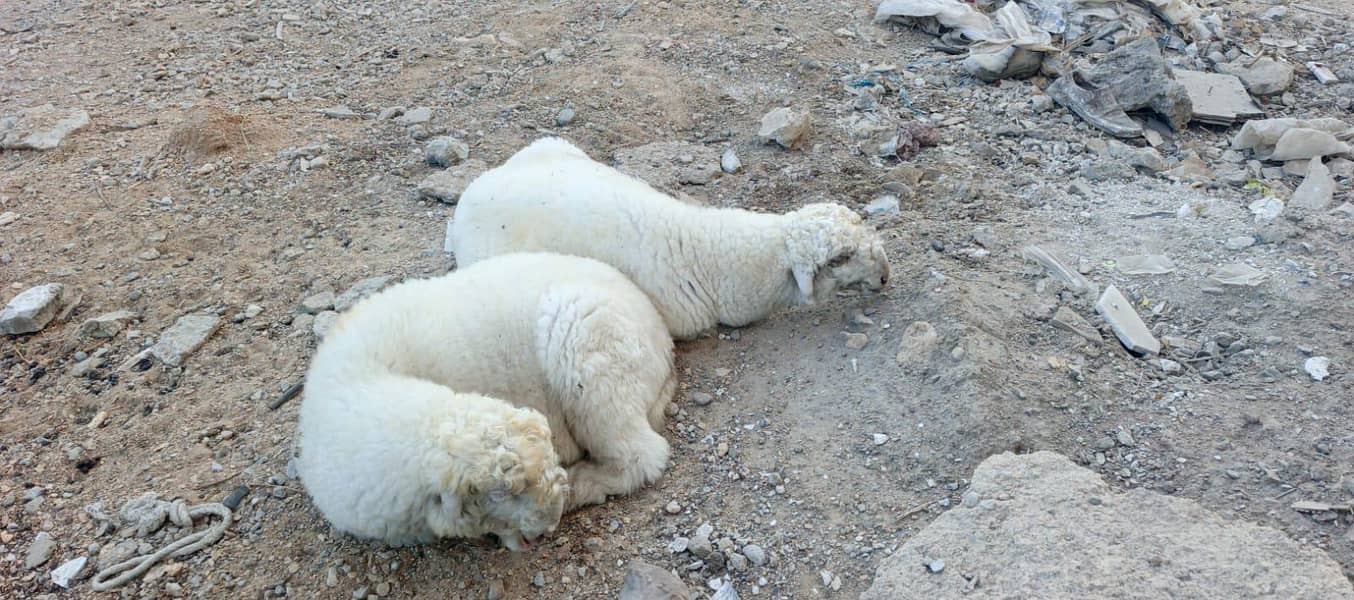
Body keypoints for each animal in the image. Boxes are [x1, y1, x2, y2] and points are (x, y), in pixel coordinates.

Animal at [296, 252, 675, 550]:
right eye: (499, 494)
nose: (547, 525)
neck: (363, 380)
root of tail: (662, 338)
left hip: (587, 343)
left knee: (642, 454)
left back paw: (583, 481)